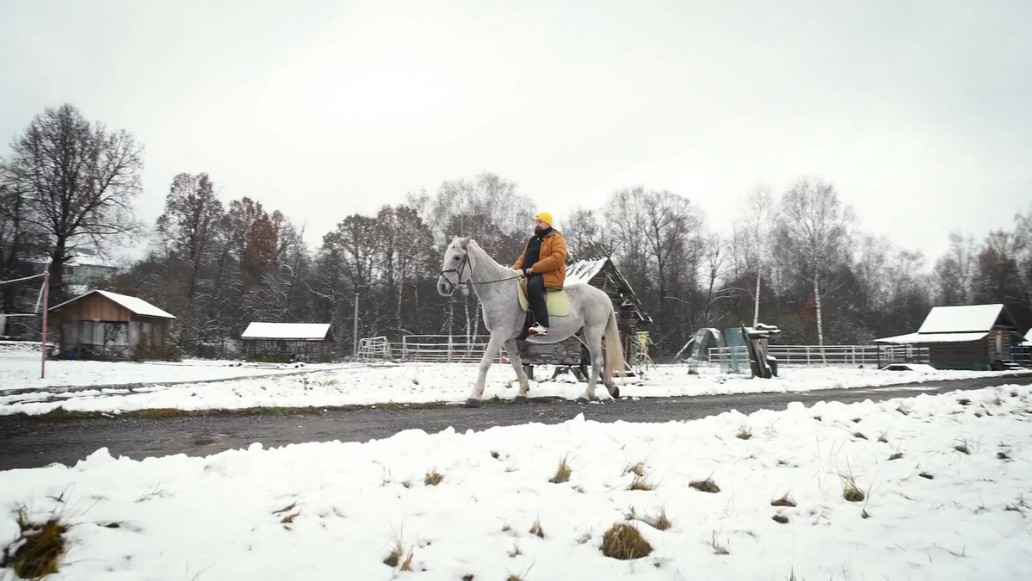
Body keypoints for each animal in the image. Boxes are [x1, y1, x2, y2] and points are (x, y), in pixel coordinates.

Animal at [433, 238, 619, 406]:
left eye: (457, 257)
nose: (442, 287)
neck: (497, 290)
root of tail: (604, 296)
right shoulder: (507, 338)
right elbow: (516, 364)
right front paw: (523, 392)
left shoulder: (499, 333)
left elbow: (485, 363)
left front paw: (474, 396)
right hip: (583, 334)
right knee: (603, 360)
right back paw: (611, 389)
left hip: (593, 331)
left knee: (597, 362)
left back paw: (586, 395)